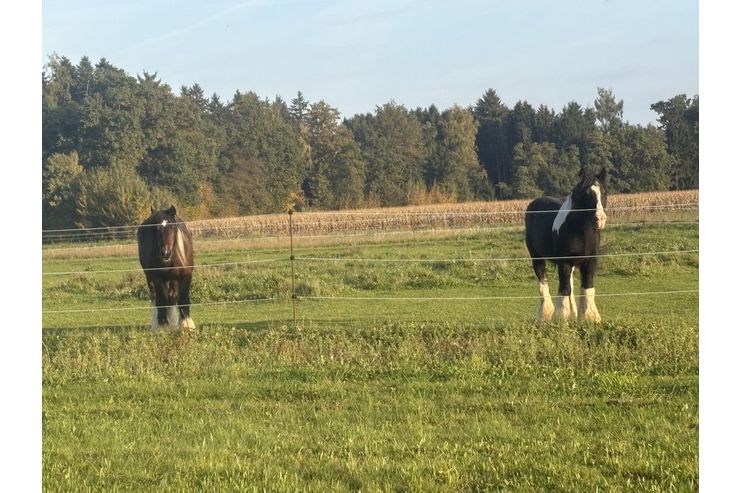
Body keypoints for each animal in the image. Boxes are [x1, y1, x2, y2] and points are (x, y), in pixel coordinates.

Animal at [524, 168, 608, 322]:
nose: (599, 219)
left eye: (604, 192)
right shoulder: (564, 262)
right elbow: (564, 289)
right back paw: (544, 315)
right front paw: (560, 317)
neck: (581, 232)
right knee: (543, 283)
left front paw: (589, 317)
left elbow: (586, 287)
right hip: (537, 258)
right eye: (586, 194)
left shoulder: (590, 261)